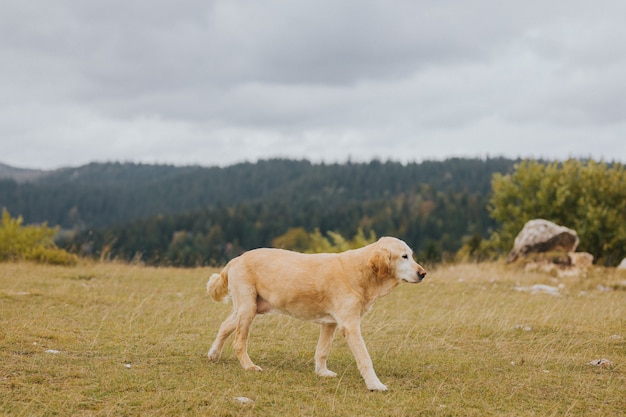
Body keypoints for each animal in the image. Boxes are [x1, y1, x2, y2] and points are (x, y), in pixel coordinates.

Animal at [205, 237, 424, 390]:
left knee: (224, 327)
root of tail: (237, 258)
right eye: (404, 256)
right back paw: (249, 366)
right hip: (248, 308)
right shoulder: (350, 325)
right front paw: (375, 385)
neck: (362, 272)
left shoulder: (330, 324)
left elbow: (322, 351)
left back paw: (213, 354)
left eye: (411, 255)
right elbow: (365, 358)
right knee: (238, 342)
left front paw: (322, 372)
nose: (423, 273)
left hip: (250, 308)